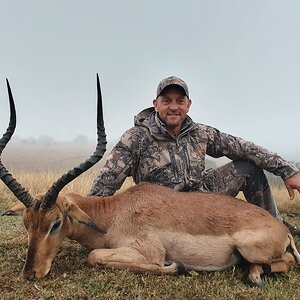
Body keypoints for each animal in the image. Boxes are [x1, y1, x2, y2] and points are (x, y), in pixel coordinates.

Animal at [0, 78, 300, 286]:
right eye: (27, 222)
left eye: (55, 222)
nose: (31, 273)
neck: (114, 213)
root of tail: (281, 228)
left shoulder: (146, 251)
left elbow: (94, 256)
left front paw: (176, 267)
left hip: (250, 249)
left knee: (286, 261)